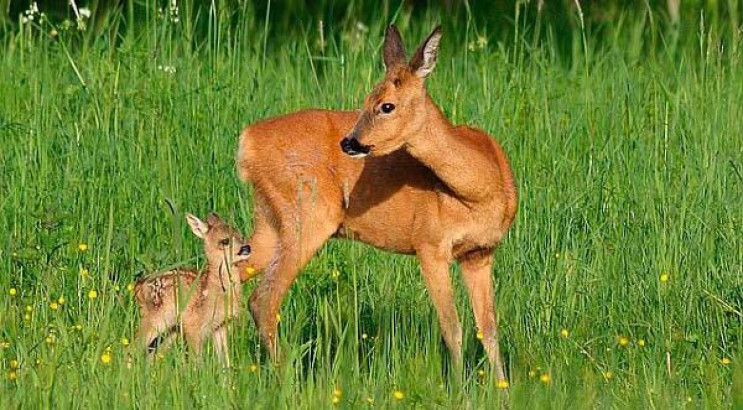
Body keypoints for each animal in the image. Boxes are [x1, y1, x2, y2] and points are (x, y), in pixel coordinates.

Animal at [137, 213, 256, 366]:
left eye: (241, 236)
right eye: (225, 241)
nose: (246, 248)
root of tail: (138, 287)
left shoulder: (220, 325)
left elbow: (225, 360)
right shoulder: (193, 325)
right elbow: (196, 361)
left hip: (172, 328)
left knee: (153, 355)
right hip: (155, 318)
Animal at [238, 25, 516, 382]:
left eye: (386, 106)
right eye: (365, 101)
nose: (349, 142)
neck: (482, 190)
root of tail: (247, 142)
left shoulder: (480, 252)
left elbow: (489, 329)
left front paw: (501, 387)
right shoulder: (429, 244)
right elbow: (452, 328)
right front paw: (458, 386)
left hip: (269, 221)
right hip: (309, 213)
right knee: (263, 299)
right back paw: (287, 376)